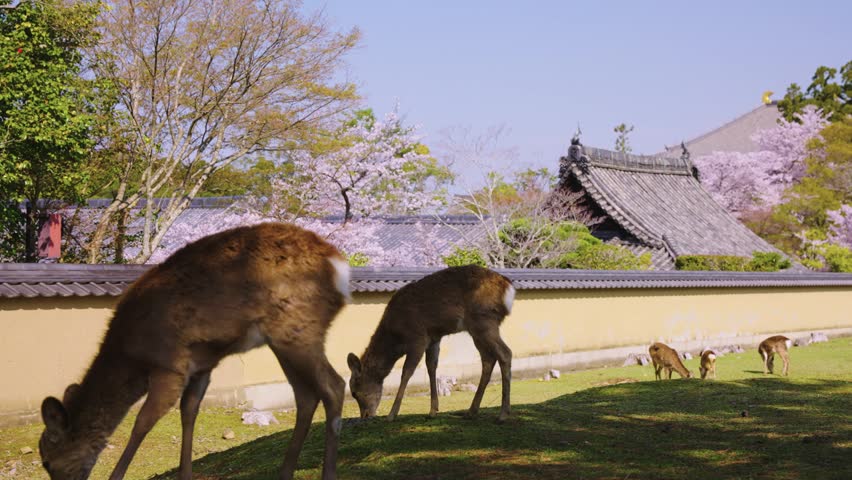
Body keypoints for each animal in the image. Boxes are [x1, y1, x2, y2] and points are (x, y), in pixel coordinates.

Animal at [39, 223, 350, 480]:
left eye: (47, 461)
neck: (131, 355)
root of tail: (339, 268)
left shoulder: (170, 363)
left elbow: (143, 422)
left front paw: (116, 476)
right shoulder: (201, 365)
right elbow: (188, 413)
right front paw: (185, 474)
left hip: (298, 328)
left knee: (333, 385)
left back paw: (328, 474)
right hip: (284, 339)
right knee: (306, 395)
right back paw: (285, 473)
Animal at [347, 265, 515, 423]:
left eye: (354, 392)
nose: (365, 415)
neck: (396, 336)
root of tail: (509, 288)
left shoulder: (417, 338)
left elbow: (406, 372)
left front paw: (391, 414)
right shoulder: (433, 338)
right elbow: (431, 366)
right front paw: (433, 410)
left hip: (484, 320)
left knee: (505, 353)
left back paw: (503, 414)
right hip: (477, 330)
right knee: (488, 359)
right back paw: (471, 411)